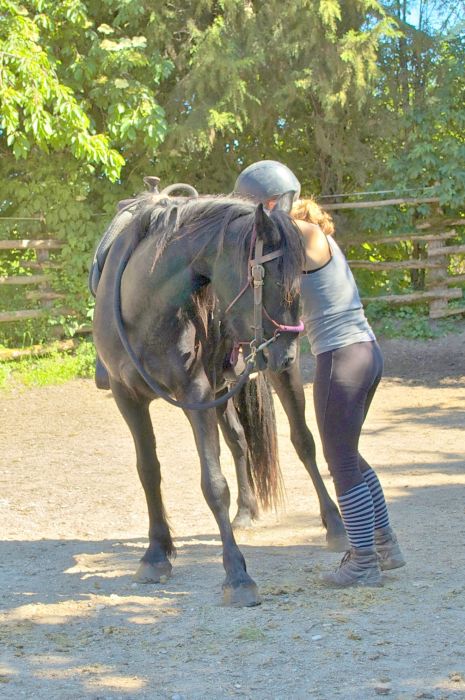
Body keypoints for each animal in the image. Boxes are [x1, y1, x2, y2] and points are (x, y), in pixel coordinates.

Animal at [91, 193, 344, 608]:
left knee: (303, 442)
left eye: (300, 281)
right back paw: (246, 511)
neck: (142, 305)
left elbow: (213, 483)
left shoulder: (195, 393)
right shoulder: (128, 397)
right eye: (267, 277)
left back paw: (335, 525)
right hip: (225, 389)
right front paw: (156, 554)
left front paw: (237, 576)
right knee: (240, 441)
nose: (286, 354)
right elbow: (148, 471)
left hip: (266, 383)